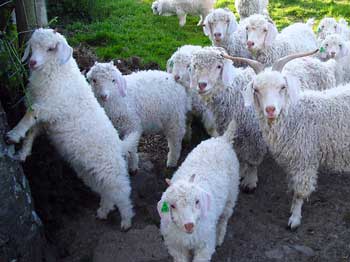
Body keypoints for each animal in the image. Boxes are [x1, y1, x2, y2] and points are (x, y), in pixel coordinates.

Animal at [6, 28, 137, 229]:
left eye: (51, 48)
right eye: (32, 45)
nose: (32, 62)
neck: (58, 73)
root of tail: (119, 145)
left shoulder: (51, 107)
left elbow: (30, 113)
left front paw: (13, 134)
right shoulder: (47, 119)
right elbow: (32, 130)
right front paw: (22, 152)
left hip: (111, 170)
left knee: (122, 192)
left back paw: (126, 220)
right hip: (89, 172)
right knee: (106, 192)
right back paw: (103, 211)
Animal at [159, 119, 239, 260]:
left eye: (197, 201)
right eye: (172, 206)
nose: (189, 225)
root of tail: (223, 140)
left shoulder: (205, 244)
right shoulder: (176, 246)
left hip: (232, 193)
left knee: (224, 217)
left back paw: (219, 237)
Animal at [226, 49, 350, 229]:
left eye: (282, 87)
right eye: (256, 89)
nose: (270, 109)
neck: (295, 115)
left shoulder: (304, 159)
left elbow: (299, 192)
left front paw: (295, 218)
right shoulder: (292, 160)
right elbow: (292, 185)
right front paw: (292, 208)